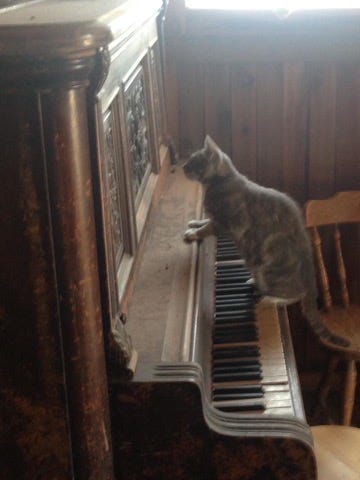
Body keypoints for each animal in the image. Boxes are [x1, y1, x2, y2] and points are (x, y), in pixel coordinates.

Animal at [183, 133, 348, 346]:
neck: (220, 181)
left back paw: (271, 299)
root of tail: (311, 277)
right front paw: (195, 222)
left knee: (293, 295)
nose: (183, 166)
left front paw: (194, 233)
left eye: (195, 161)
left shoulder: (226, 224)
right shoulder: (216, 219)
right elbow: (205, 220)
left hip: (269, 268)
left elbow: (207, 228)